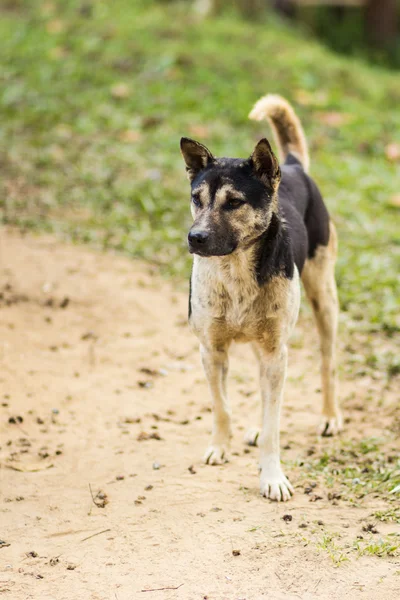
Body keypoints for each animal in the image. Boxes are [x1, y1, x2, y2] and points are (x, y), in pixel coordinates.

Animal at [180, 95, 340, 502]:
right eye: (196, 199)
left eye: (234, 202)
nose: (195, 238)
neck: (235, 270)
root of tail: (294, 167)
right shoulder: (211, 350)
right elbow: (221, 407)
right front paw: (219, 446)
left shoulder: (275, 351)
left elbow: (274, 427)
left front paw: (272, 477)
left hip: (323, 299)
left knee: (327, 362)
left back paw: (330, 416)